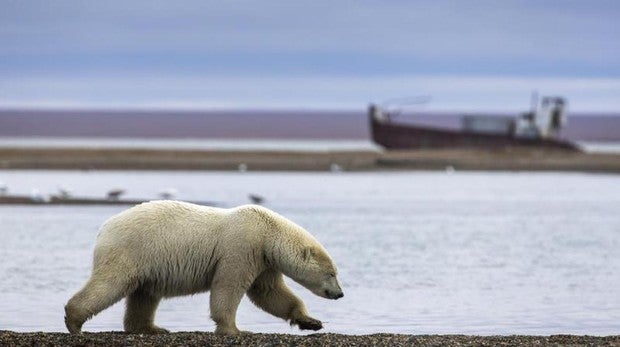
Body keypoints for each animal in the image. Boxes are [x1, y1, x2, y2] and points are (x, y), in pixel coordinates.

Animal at [64, 203, 344, 336]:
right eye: (331, 273)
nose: (340, 294)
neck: (268, 233)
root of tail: (105, 227)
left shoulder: (264, 260)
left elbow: (269, 292)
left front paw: (311, 322)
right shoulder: (242, 246)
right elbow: (229, 286)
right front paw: (234, 330)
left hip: (147, 261)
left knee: (144, 295)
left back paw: (151, 328)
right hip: (132, 249)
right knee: (111, 283)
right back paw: (74, 320)